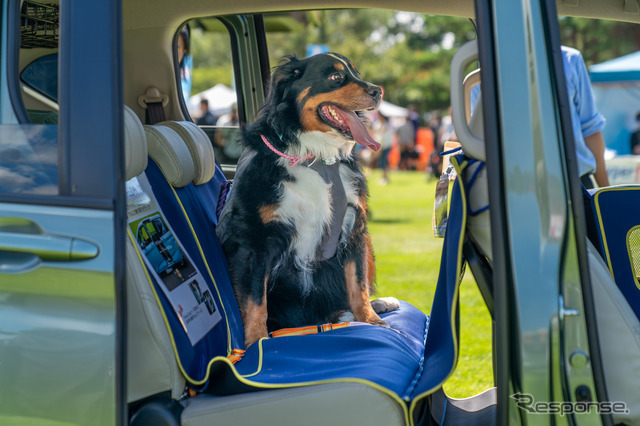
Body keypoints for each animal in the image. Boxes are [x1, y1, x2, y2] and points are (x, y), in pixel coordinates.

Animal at [218, 51, 398, 348]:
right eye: (336, 76)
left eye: (356, 73)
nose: (377, 91)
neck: (317, 159)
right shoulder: (253, 241)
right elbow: (255, 302)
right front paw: (257, 342)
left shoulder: (355, 229)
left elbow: (357, 283)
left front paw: (371, 321)